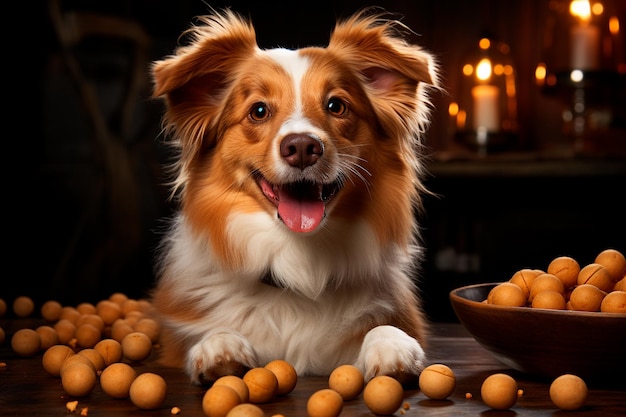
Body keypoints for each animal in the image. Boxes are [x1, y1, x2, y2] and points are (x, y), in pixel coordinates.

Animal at [149, 7, 436, 384]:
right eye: (258, 111)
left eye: (336, 106)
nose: (302, 147)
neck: (297, 264)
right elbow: (210, 333)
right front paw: (219, 344)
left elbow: (384, 327)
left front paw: (391, 344)